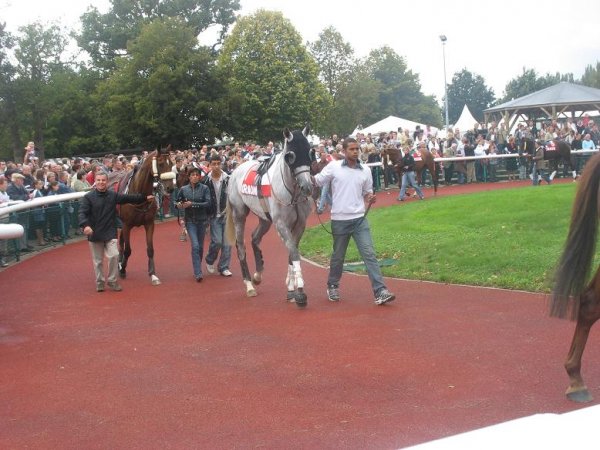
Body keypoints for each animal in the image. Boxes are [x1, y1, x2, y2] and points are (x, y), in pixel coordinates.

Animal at [116, 148, 173, 284]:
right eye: (161, 164)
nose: (170, 188)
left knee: (121, 241)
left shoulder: (149, 224)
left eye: (172, 163)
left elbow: (150, 249)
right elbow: (128, 250)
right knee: (121, 243)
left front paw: (152, 274)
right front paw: (122, 269)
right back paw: (120, 265)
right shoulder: (126, 225)